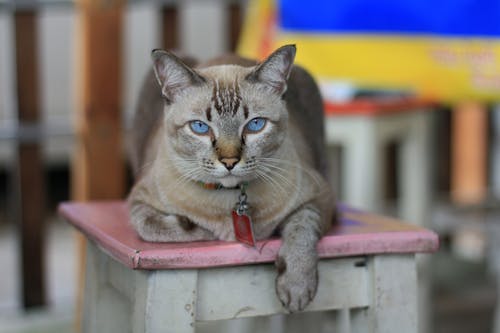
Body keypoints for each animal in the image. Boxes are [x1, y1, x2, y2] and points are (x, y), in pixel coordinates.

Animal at [127, 44, 336, 312]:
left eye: (255, 125)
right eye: (200, 128)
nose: (229, 162)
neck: (231, 197)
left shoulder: (321, 196)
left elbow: (302, 228)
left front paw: (296, 286)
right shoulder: (137, 199)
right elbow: (152, 226)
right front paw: (202, 229)